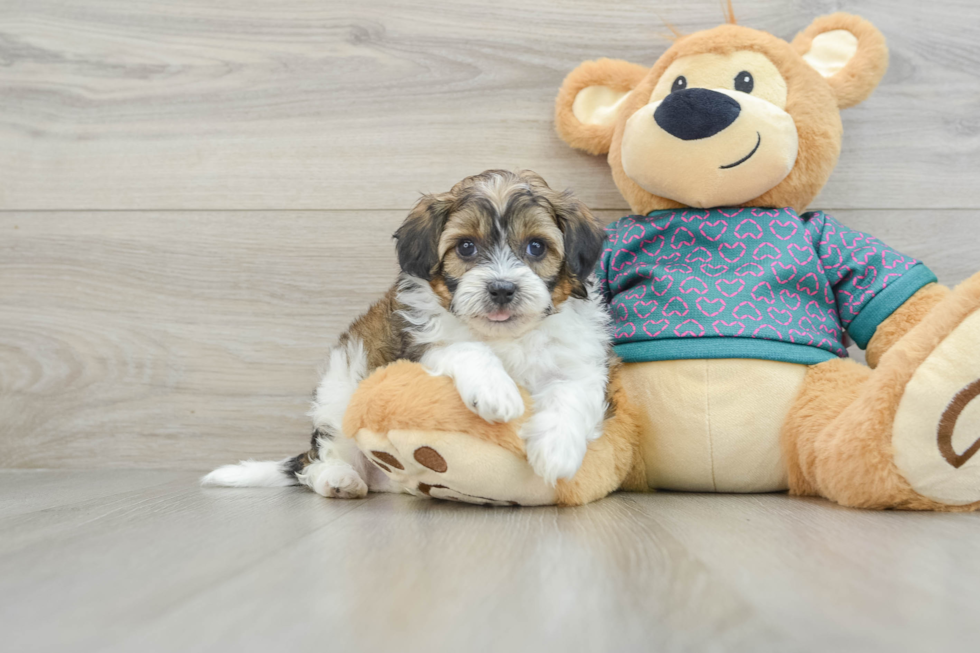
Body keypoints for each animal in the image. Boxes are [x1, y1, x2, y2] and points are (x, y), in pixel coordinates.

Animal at [201, 169, 612, 500]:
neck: (504, 336)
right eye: (466, 247)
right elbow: (464, 348)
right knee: (317, 462)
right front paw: (496, 391)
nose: (501, 288)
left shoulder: (579, 361)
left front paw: (557, 450)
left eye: (536, 246)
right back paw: (338, 479)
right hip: (337, 399)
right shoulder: (411, 351)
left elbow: (572, 389)